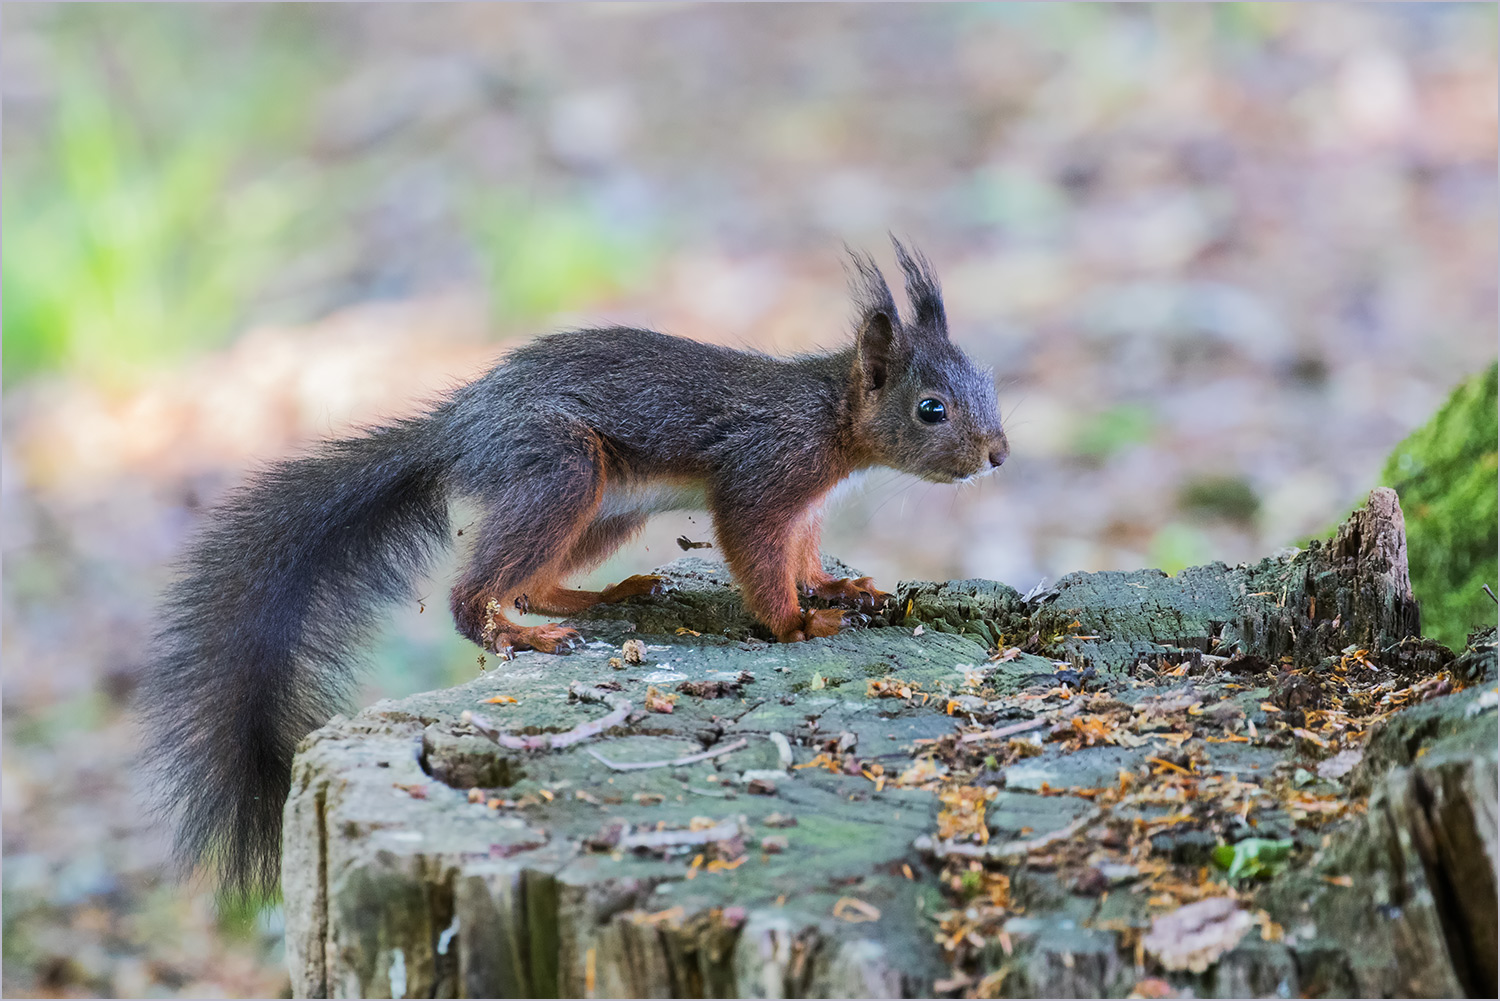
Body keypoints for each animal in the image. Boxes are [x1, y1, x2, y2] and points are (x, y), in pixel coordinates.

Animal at [138, 240, 1008, 894]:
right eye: (931, 409)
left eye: (988, 383)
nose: (999, 453)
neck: (831, 417)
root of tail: (459, 429)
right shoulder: (761, 474)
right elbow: (758, 552)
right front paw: (797, 621)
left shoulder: (806, 507)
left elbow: (800, 553)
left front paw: (837, 587)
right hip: (560, 470)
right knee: (474, 591)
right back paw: (518, 636)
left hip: (601, 510)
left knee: (532, 581)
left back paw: (596, 597)